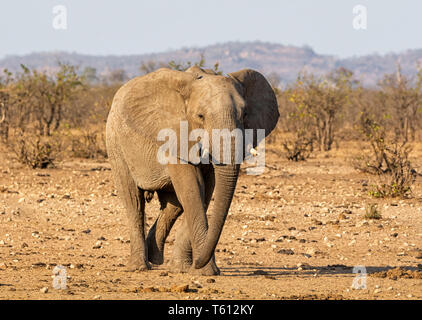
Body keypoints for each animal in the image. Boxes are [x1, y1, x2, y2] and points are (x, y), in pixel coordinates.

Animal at [105, 65, 278, 276]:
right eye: (200, 116)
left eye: (245, 114)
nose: (199, 263)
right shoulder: (174, 134)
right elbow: (193, 188)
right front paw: (206, 271)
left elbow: (205, 191)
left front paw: (185, 268)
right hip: (115, 143)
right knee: (134, 201)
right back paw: (139, 266)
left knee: (173, 206)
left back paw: (155, 258)